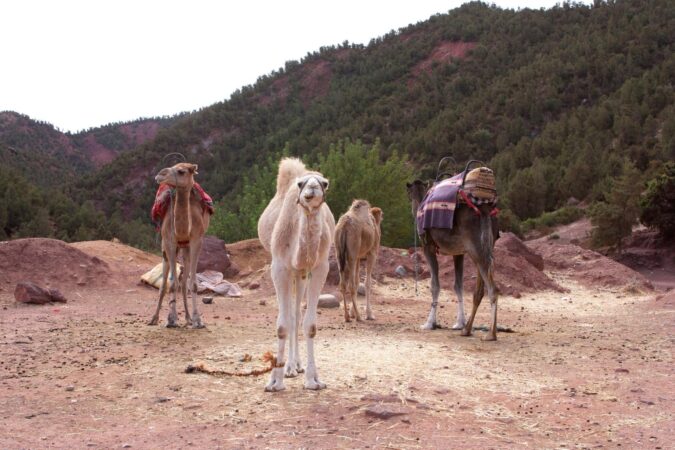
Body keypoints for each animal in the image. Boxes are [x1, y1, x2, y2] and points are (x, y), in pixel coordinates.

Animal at [149, 163, 210, 328]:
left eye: (181, 171)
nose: (160, 175)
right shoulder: (170, 241)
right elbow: (171, 284)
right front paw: (171, 319)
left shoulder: (197, 240)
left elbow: (192, 284)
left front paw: (197, 320)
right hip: (166, 248)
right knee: (164, 284)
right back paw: (154, 318)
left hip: (186, 248)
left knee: (183, 284)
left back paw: (188, 318)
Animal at [256, 157, 336, 390]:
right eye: (301, 184)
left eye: (325, 183)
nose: (312, 189)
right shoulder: (279, 267)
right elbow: (282, 325)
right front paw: (274, 381)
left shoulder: (319, 268)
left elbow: (310, 325)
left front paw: (313, 380)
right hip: (291, 272)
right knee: (291, 315)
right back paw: (289, 368)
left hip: (300, 274)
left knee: (296, 314)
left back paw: (295, 366)